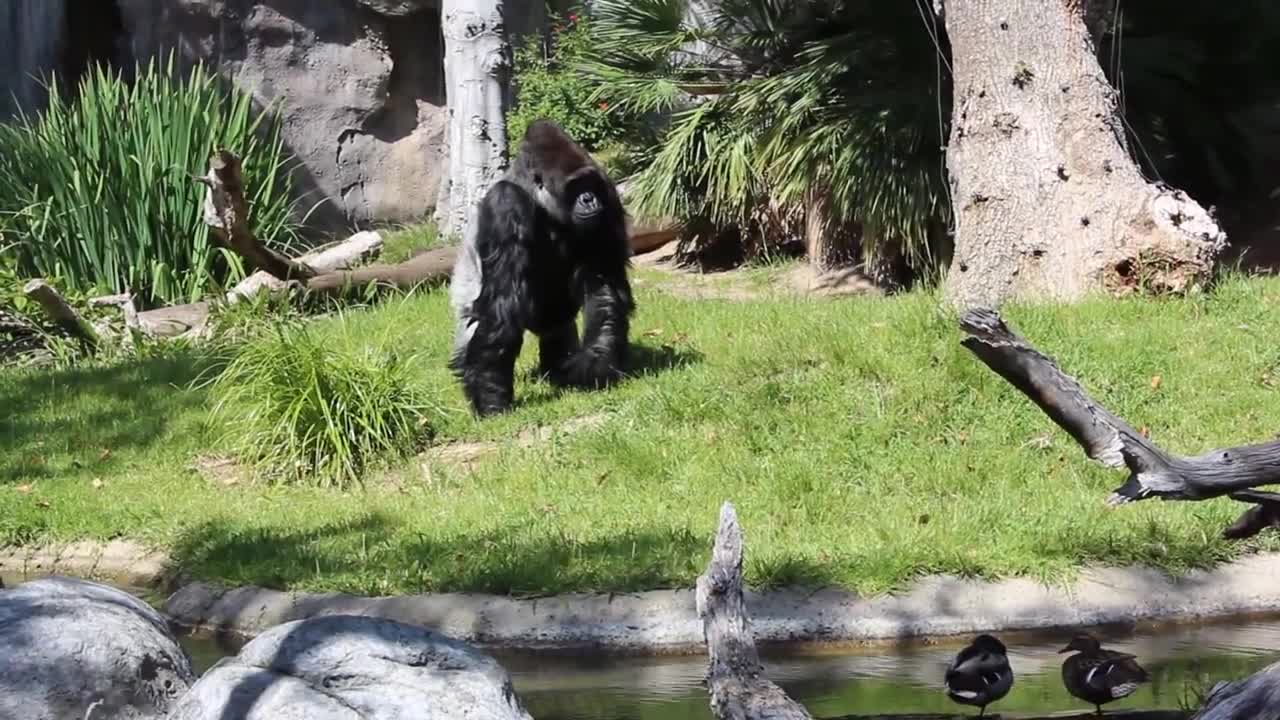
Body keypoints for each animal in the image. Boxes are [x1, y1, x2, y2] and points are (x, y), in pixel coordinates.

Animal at [448, 119, 637, 415]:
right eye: (575, 187)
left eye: (590, 184)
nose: (589, 199)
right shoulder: (506, 203)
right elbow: (502, 308)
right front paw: (490, 396)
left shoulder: (608, 191)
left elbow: (603, 286)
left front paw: (595, 364)